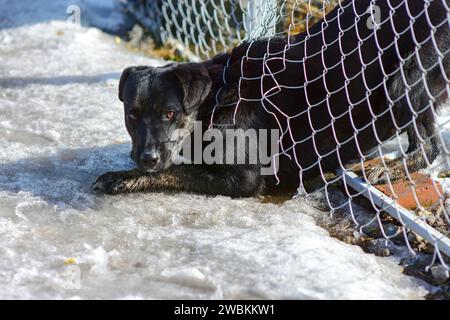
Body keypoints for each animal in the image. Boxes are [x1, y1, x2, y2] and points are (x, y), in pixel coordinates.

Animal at [93, 0, 448, 198]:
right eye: (132, 115)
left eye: (170, 113)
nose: (146, 157)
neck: (217, 98)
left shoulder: (244, 179)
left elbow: (175, 173)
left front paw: (122, 178)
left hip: (404, 80)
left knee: (430, 147)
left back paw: (391, 167)